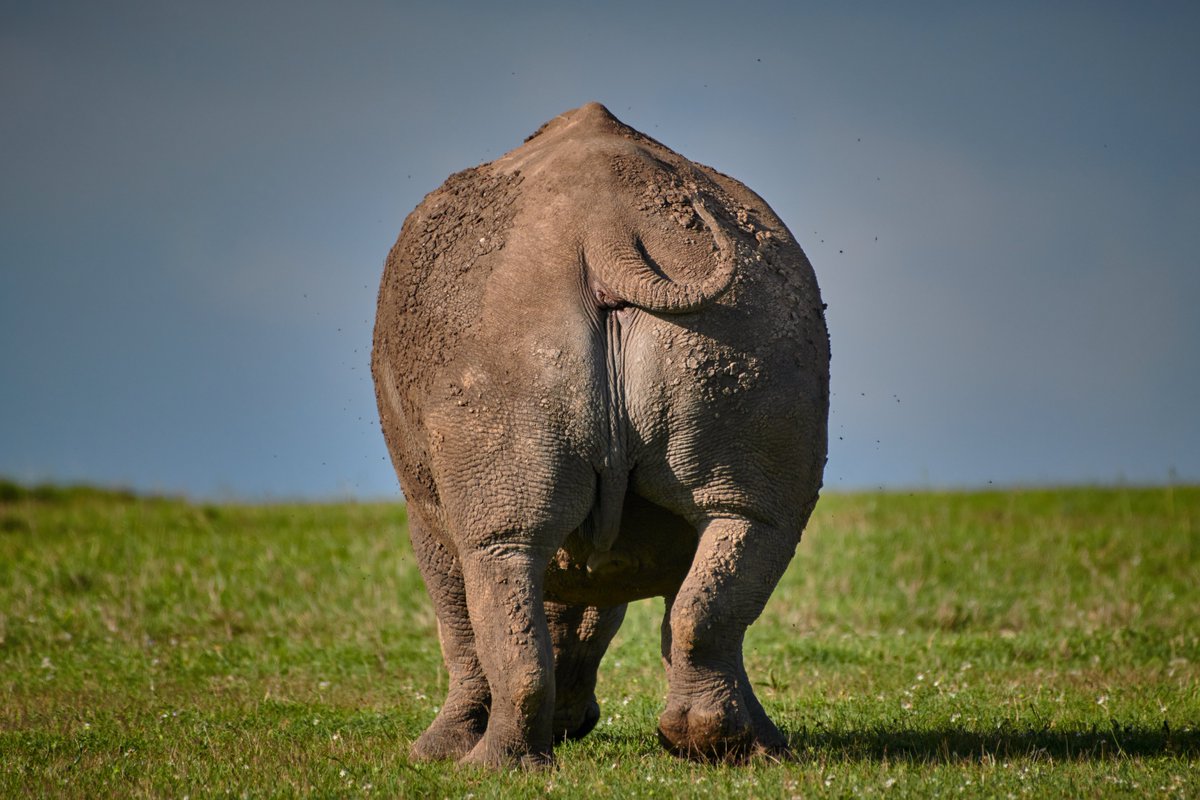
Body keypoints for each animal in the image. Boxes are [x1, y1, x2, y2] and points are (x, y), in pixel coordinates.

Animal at [372, 102, 829, 768]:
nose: (578, 721)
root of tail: (610, 232)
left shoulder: (425, 513)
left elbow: (456, 620)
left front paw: (433, 752)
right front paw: (764, 743)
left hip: (502, 334)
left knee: (501, 554)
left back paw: (494, 768)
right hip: (755, 329)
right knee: (747, 528)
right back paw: (720, 747)